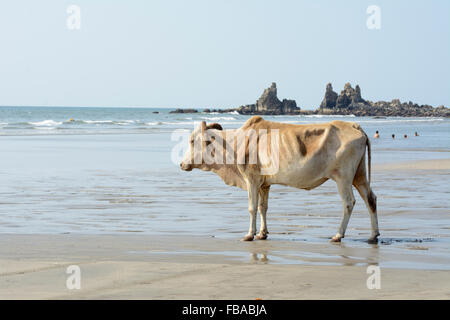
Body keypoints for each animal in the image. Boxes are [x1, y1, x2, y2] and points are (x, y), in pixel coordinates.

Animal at [179, 116, 380, 244]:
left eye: (192, 141)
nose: (182, 164)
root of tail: (354, 126)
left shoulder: (251, 179)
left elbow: (252, 208)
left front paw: (249, 235)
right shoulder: (264, 184)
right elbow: (263, 207)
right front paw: (262, 234)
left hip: (343, 178)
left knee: (349, 202)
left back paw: (338, 235)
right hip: (359, 176)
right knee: (370, 199)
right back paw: (373, 235)